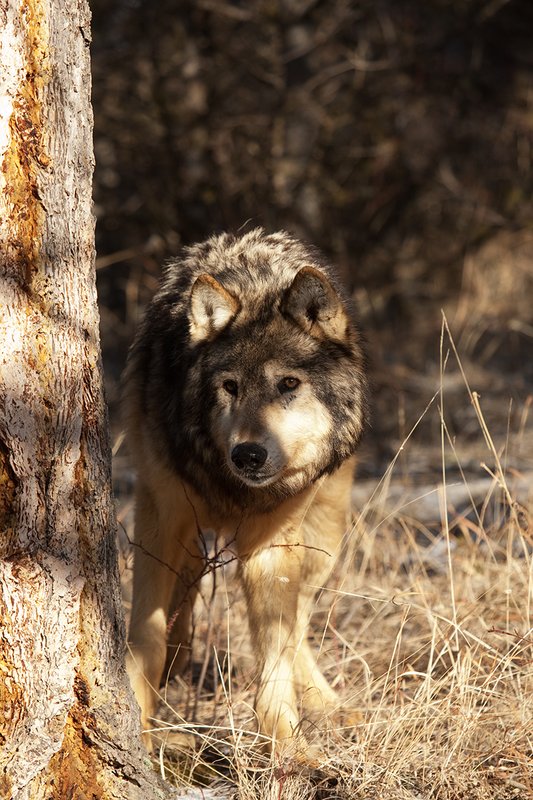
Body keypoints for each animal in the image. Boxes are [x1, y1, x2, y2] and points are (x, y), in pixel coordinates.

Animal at [122, 228, 368, 753]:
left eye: (289, 384)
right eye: (230, 387)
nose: (248, 455)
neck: (229, 488)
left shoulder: (272, 545)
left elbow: (275, 651)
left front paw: (289, 747)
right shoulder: (158, 515)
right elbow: (146, 635)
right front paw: (141, 726)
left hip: (323, 537)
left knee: (298, 625)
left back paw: (329, 706)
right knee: (192, 578)